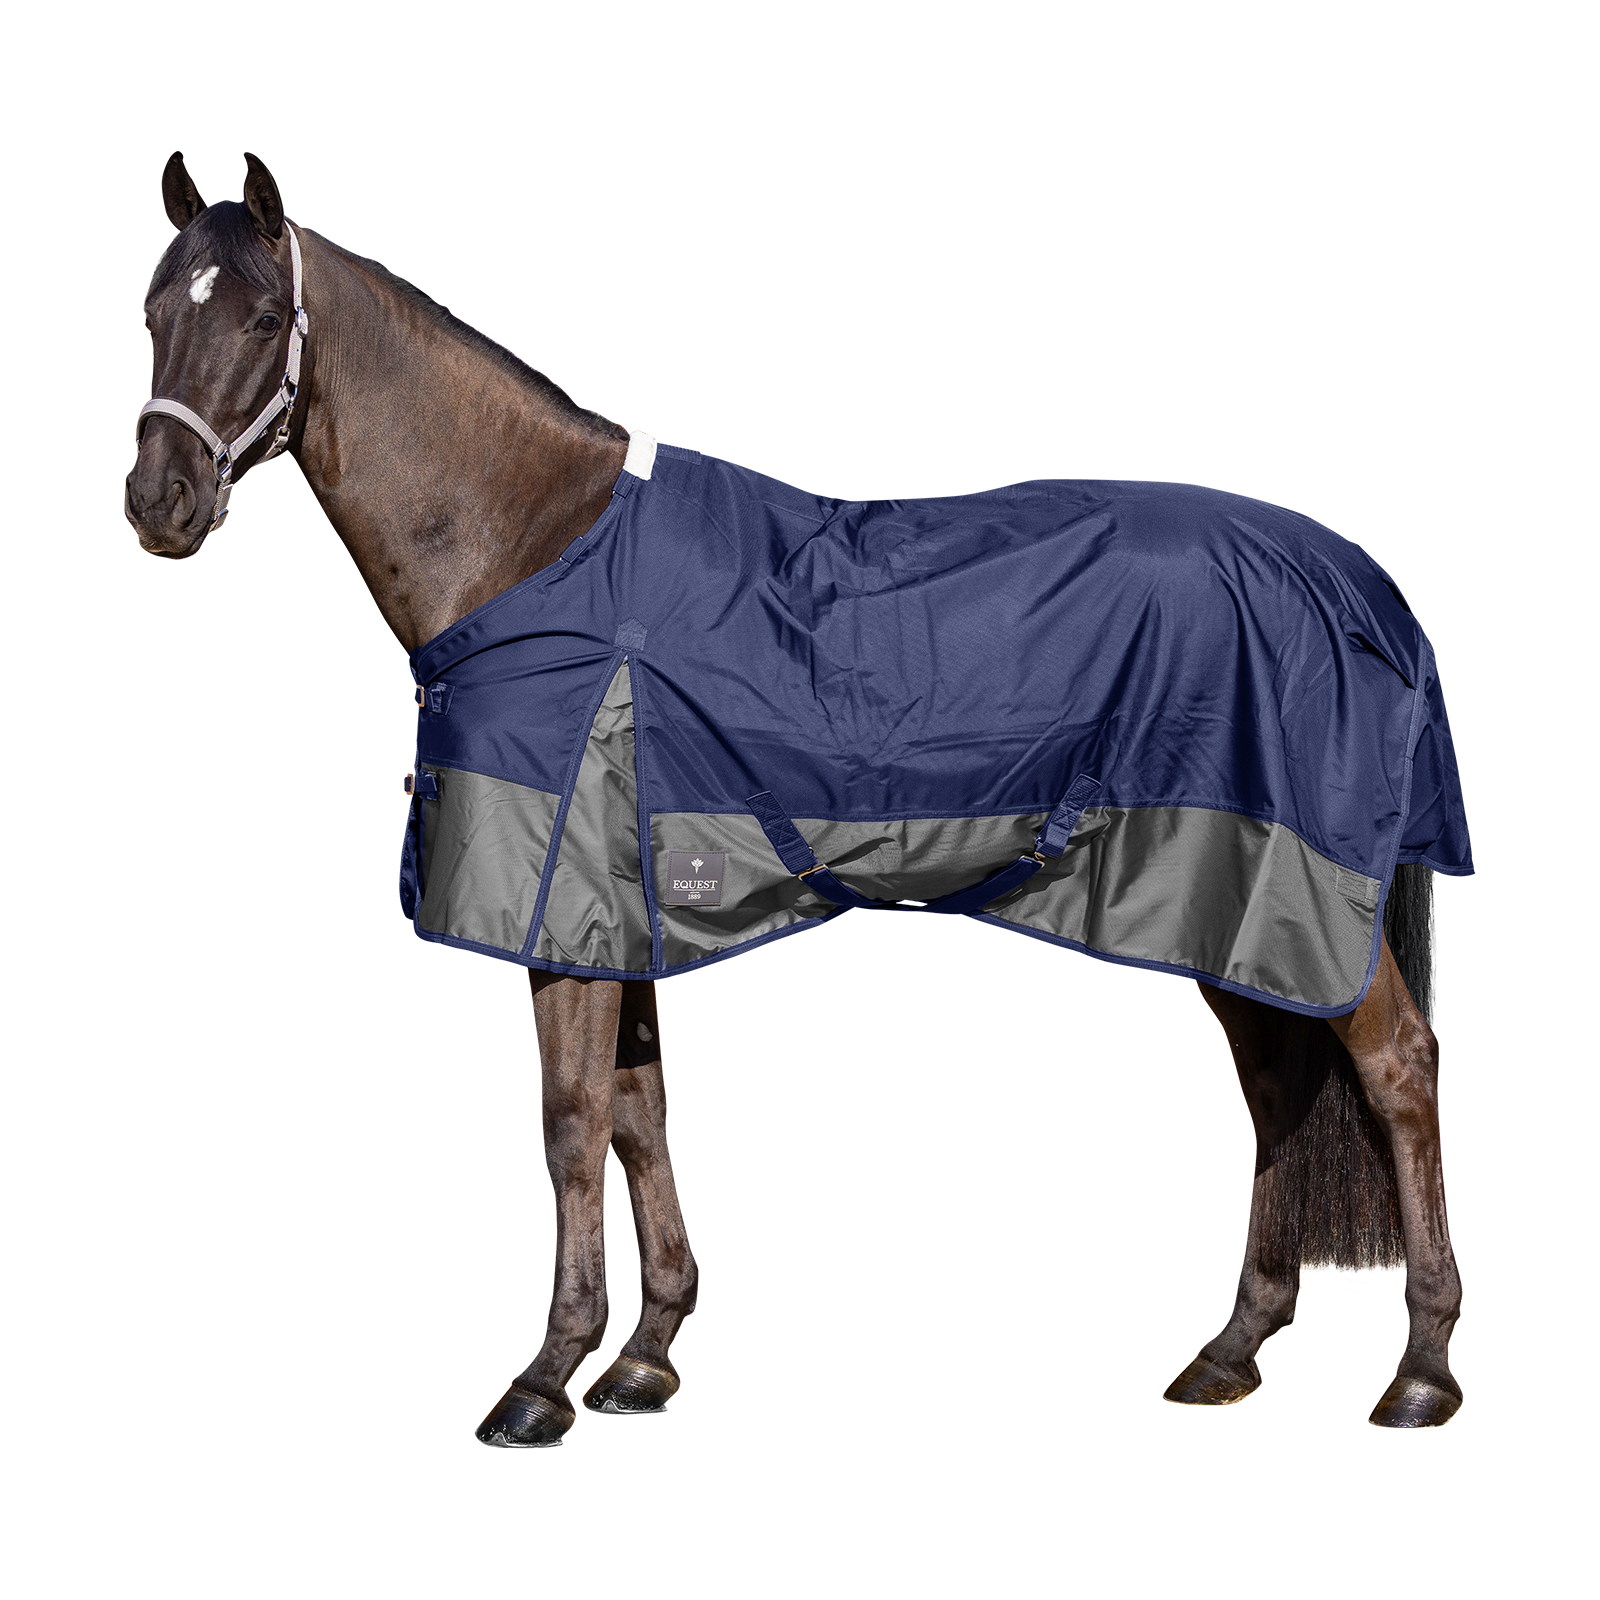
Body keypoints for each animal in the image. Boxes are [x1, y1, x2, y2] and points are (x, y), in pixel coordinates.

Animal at [126, 153, 1466, 1448]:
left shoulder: (565, 900)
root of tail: (1350, 575)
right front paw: (647, 1353)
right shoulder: (617, 911)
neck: (534, 550)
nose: (160, 500)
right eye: (152, 308)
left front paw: (545, 1378)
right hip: (1231, 900)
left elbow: (571, 1122)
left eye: (260, 317)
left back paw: (1418, 1378)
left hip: (1288, 896)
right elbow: (636, 1114)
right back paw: (1227, 1351)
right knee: (1280, 1088)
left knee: (1395, 1070)